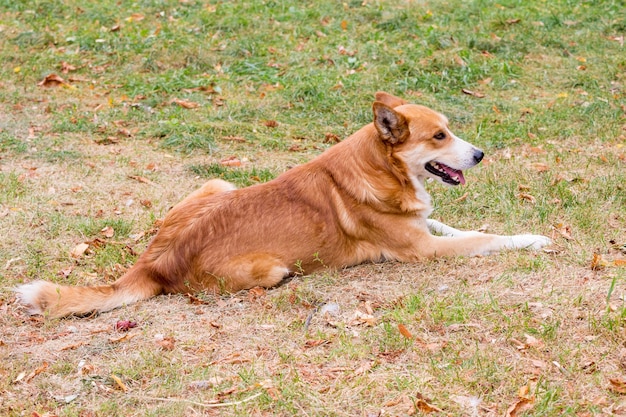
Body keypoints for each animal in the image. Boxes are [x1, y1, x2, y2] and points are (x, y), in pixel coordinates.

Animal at [17, 92, 548, 318]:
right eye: (439, 136)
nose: (480, 154)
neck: (382, 168)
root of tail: (151, 264)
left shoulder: (423, 226)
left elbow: (456, 225)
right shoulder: (422, 251)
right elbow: (484, 238)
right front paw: (533, 239)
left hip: (218, 182)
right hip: (271, 268)